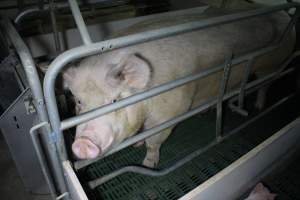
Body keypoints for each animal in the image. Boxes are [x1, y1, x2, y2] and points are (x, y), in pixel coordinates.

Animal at [63, 1, 296, 167]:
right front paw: (137, 143)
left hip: (274, 64)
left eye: (114, 100)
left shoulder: (170, 112)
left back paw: (258, 107)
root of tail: (284, 14)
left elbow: (154, 142)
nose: (83, 143)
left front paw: (148, 163)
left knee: (265, 85)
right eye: (79, 102)